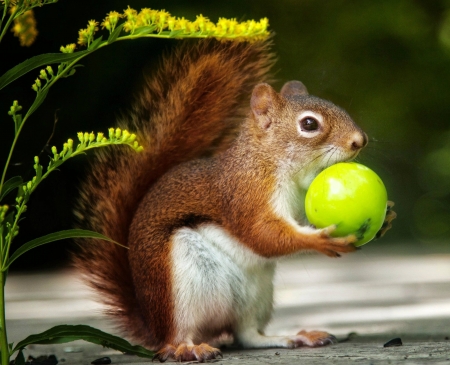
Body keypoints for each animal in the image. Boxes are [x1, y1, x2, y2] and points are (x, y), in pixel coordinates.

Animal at [73, 38, 394, 362]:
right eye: (308, 124)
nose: (359, 140)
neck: (270, 161)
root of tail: (152, 324)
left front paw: (385, 219)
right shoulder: (245, 193)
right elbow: (261, 233)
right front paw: (319, 240)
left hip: (256, 294)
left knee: (247, 335)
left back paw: (295, 337)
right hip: (179, 288)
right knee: (176, 338)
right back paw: (188, 348)